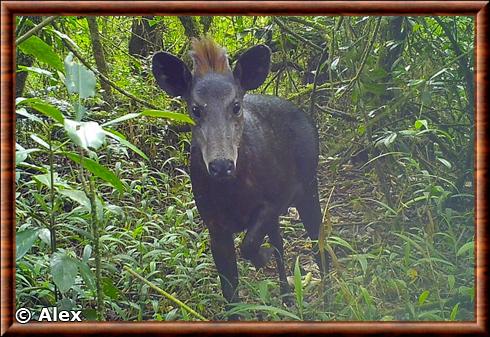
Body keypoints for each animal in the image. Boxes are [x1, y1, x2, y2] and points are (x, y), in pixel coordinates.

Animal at [151, 37, 328, 312]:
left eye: (236, 106)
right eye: (195, 109)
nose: (221, 165)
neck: (233, 194)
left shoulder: (273, 201)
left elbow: (249, 244)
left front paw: (261, 257)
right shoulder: (215, 226)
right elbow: (230, 295)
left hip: (309, 186)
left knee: (318, 242)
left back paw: (331, 298)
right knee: (280, 243)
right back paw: (287, 296)